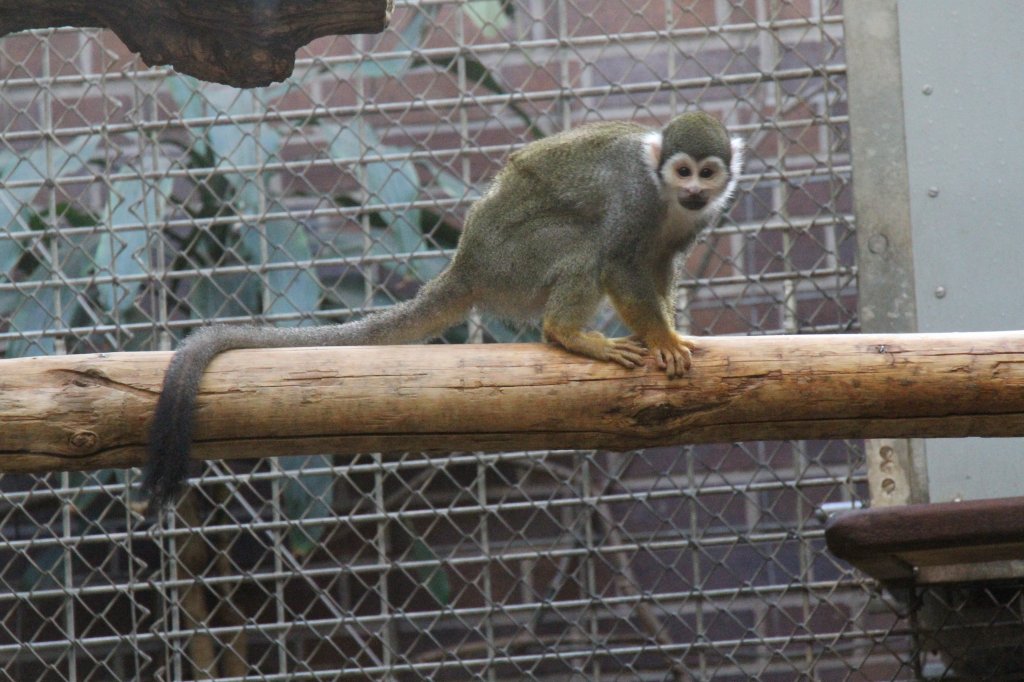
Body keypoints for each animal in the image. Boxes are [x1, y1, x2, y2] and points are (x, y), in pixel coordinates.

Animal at [144, 111, 745, 501]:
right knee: (587, 244)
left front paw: (666, 331)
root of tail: (467, 262)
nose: (694, 190)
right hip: (514, 261)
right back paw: (566, 333)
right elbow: (619, 260)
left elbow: (659, 264)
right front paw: (662, 338)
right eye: (682, 170)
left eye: (706, 172)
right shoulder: (637, 197)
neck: (667, 199)